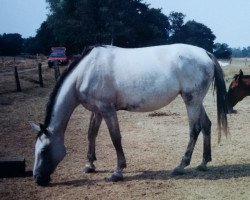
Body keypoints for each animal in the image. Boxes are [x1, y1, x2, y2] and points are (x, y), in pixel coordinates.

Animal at [29, 43, 229, 186]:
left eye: (44, 150)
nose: (38, 179)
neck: (85, 73)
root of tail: (205, 53)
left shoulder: (107, 110)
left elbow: (115, 138)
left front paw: (117, 172)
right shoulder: (97, 110)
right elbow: (91, 134)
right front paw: (90, 165)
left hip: (191, 101)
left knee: (195, 129)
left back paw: (181, 166)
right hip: (196, 101)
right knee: (207, 125)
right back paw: (203, 163)